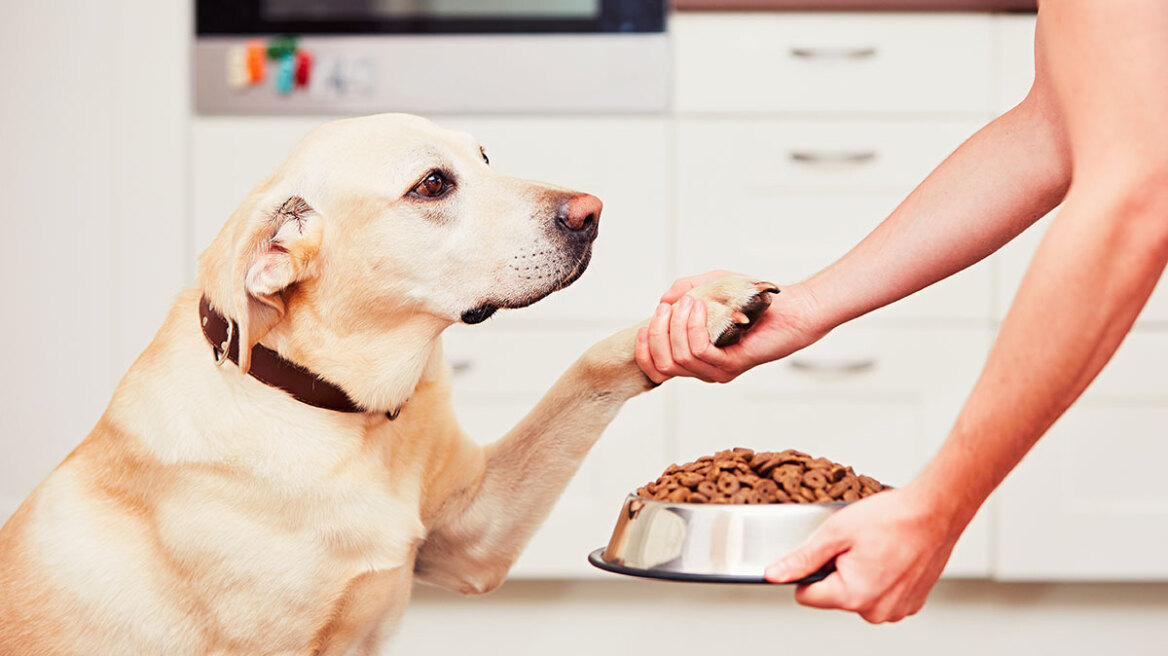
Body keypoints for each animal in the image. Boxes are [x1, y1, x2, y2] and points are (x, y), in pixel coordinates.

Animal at [2, 113, 784, 653]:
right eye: (432, 185)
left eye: (485, 157)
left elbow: (584, 368)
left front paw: (708, 302)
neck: (335, 408)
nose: (592, 212)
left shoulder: (474, 536)